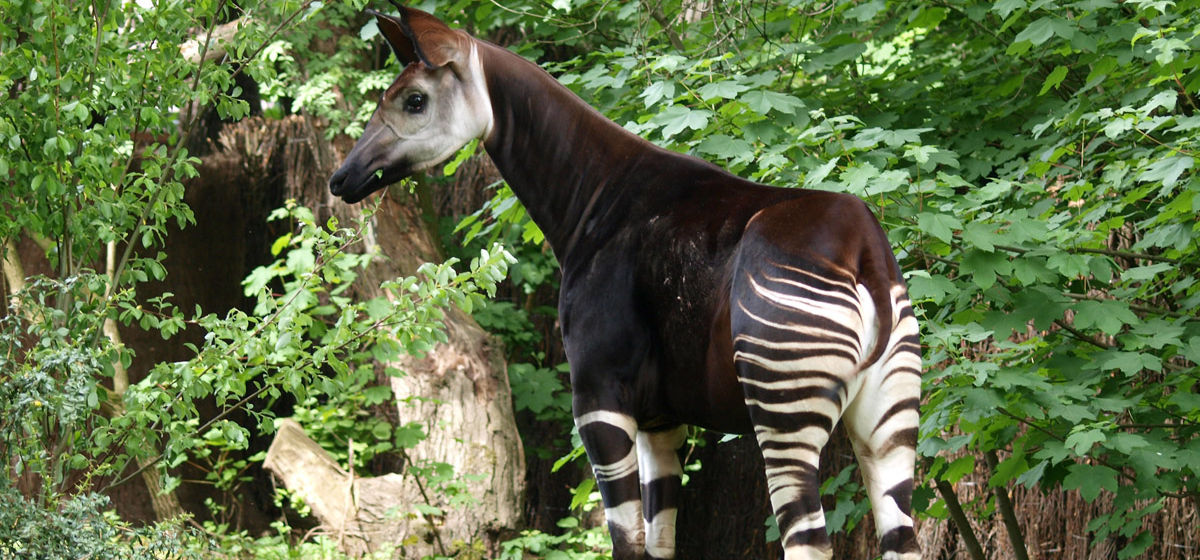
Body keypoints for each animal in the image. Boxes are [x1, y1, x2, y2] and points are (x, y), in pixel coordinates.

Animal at [329, 6, 921, 560]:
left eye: (414, 101)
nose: (341, 179)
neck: (595, 199)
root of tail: (865, 253)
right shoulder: (661, 420)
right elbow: (660, 542)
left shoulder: (597, 395)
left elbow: (626, 541)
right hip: (888, 419)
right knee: (901, 536)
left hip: (783, 406)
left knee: (807, 539)